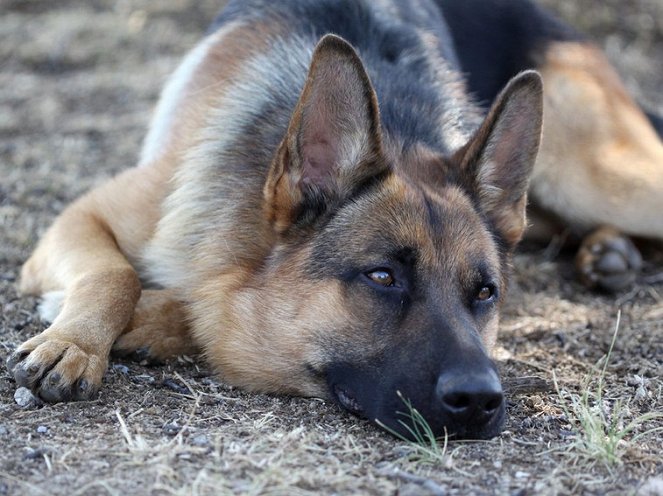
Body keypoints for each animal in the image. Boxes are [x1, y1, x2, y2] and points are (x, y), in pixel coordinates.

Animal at [6, 0, 663, 442]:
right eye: (382, 278)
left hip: (601, 179)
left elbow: (196, 306)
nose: (479, 401)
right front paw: (73, 343)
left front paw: (154, 319)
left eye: (485, 293)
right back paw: (606, 253)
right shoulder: (83, 214)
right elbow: (117, 275)